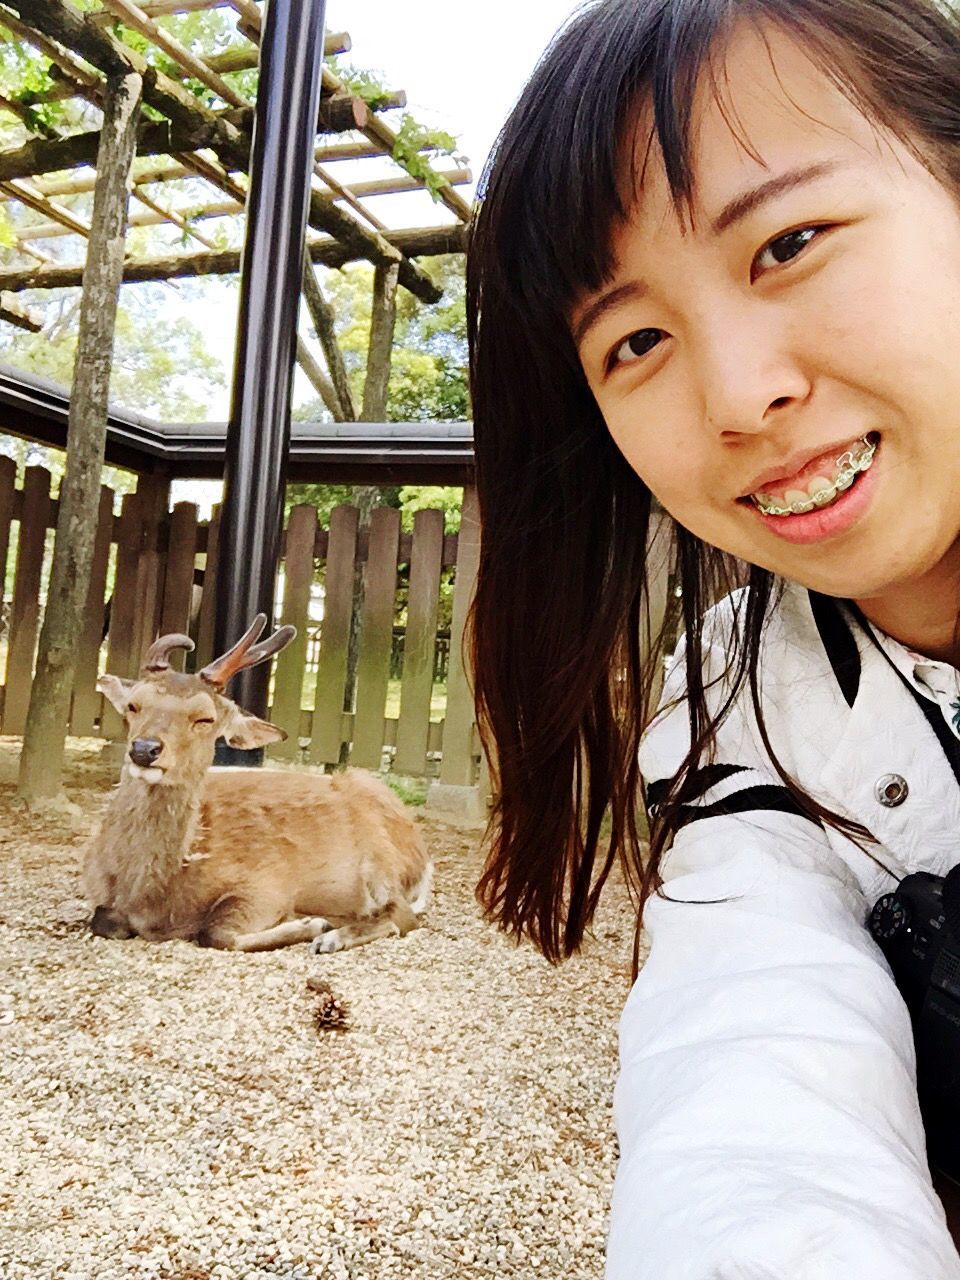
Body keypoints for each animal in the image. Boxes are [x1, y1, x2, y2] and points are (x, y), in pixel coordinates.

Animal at [85, 614, 432, 957]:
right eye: (133, 705)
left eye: (205, 718)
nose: (145, 749)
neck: (148, 895)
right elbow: (101, 919)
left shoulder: (266, 884)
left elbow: (215, 932)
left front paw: (312, 925)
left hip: (382, 863)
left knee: (402, 915)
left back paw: (332, 936)